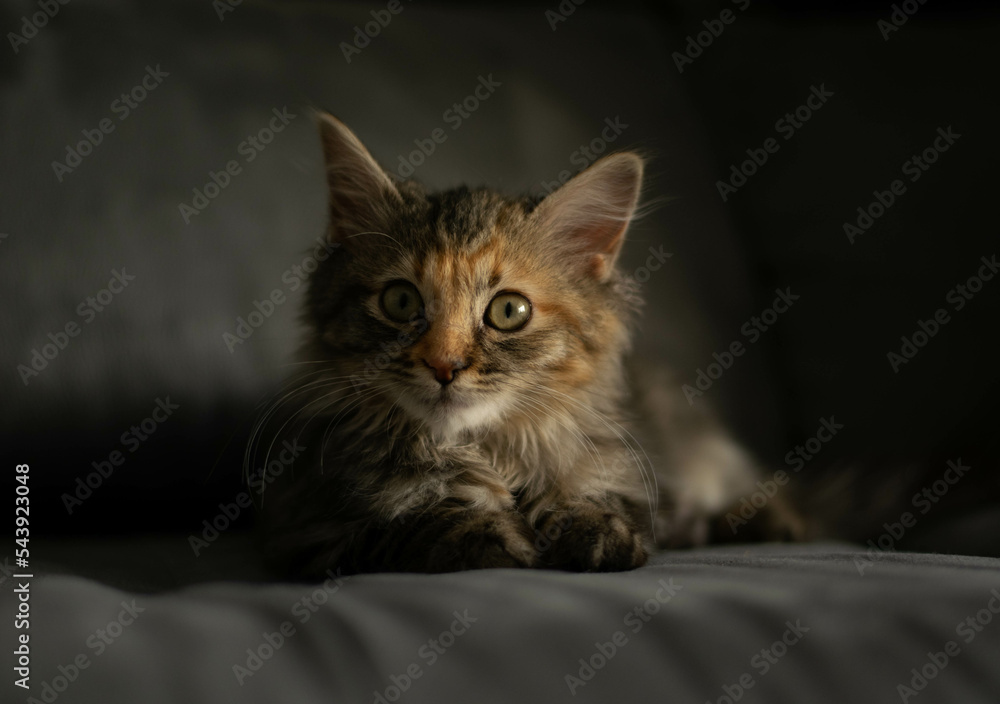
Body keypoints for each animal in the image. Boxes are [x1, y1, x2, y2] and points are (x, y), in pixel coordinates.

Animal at [260, 114, 804, 576]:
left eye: (508, 311)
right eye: (400, 301)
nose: (443, 365)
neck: (492, 453)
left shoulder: (629, 477)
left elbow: (592, 498)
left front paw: (593, 530)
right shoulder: (310, 528)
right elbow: (412, 519)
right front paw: (491, 533)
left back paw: (772, 522)